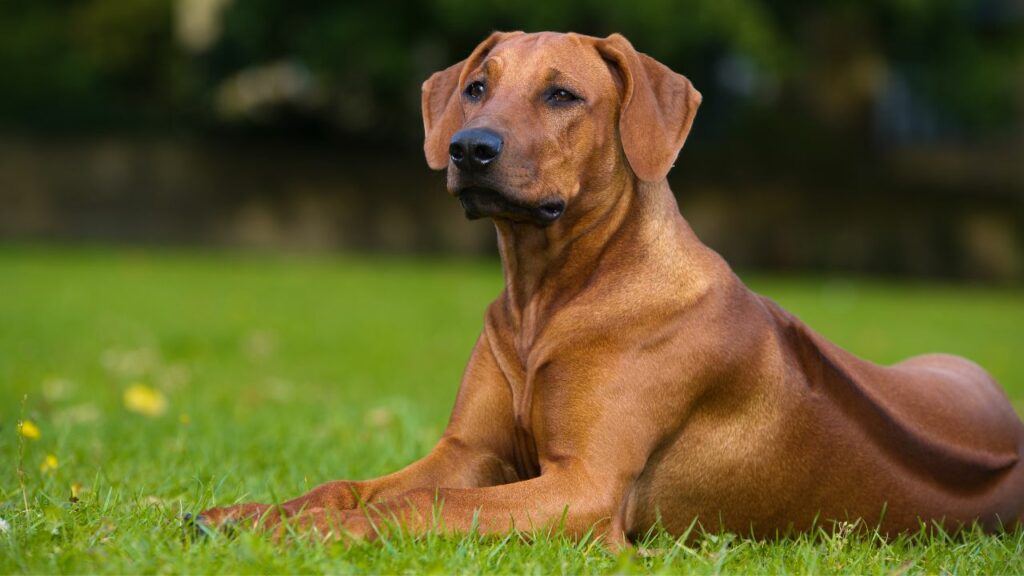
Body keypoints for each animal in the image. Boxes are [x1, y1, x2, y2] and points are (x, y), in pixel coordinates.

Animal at [197, 31, 1024, 541]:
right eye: (475, 87)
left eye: (563, 95)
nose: (468, 147)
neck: (548, 297)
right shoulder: (467, 448)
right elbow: (358, 484)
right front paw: (255, 512)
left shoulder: (586, 486)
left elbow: (428, 502)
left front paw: (312, 531)